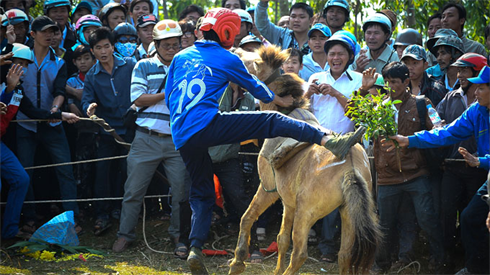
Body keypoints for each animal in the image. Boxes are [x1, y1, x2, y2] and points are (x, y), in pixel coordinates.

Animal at [228, 46, 380, 274]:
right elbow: (282, 239)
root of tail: (350, 168)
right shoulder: (288, 202)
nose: (234, 49)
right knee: (344, 255)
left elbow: (247, 217)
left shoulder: (268, 189)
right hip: (348, 213)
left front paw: (238, 261)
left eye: (251, 61)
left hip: (306, 213)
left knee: (300, 254)